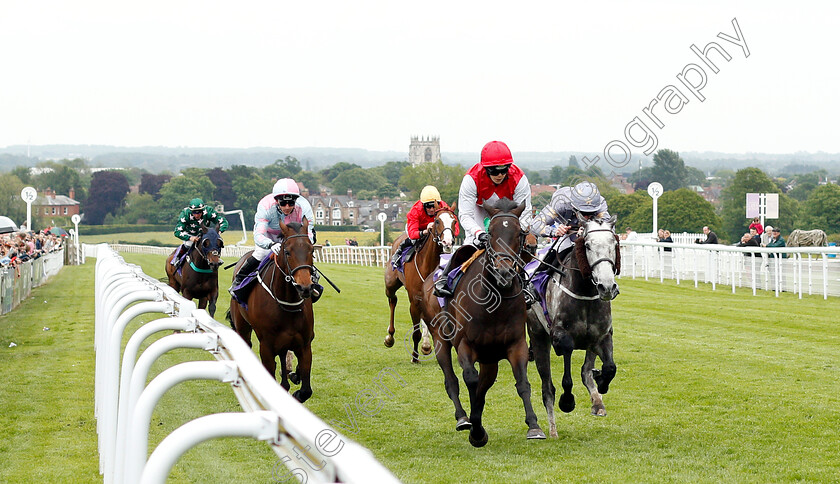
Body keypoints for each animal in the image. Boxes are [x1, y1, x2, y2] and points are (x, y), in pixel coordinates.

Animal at [226, 221, 316, 402]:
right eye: (287, 251)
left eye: (312, 250)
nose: (305, 287)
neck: (288, 303)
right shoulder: (266, 345)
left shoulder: (304, 344)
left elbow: (306, 390)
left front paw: (295, 385)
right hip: (242, 328)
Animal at [382, 200, 456, 364]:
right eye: (437, 221)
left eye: (454, 221)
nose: (448, 242)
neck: (427, 262)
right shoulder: (414, 299)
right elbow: (416, 332)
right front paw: (414, 357)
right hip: (390, 285)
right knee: (392, 300)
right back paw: (390, 337)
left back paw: (426, 345)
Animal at [420, 198, 544, 446]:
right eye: (491, 233)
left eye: (519, 233)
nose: (504, 272)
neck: (494, 304)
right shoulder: (465, 345)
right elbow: (470, 380)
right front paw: (476, 431)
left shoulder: (516, 345)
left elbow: (522, 383)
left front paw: (534, 426)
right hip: (440, 340)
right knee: (452, 381)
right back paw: (463, 418)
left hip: (490, 358)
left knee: (484, 385)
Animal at [528, 216, 620, 438]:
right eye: (587, 245)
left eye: (613, 244)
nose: (607, 287)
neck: (585, 292)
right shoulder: (560, 336)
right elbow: (566, 378)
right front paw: (567, 401)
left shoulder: (602, 336)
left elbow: (609, 368)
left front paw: (601, 382)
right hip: (537, 335)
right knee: (547, 388)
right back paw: (552, 430)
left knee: (585, 370)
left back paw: (597, 402)